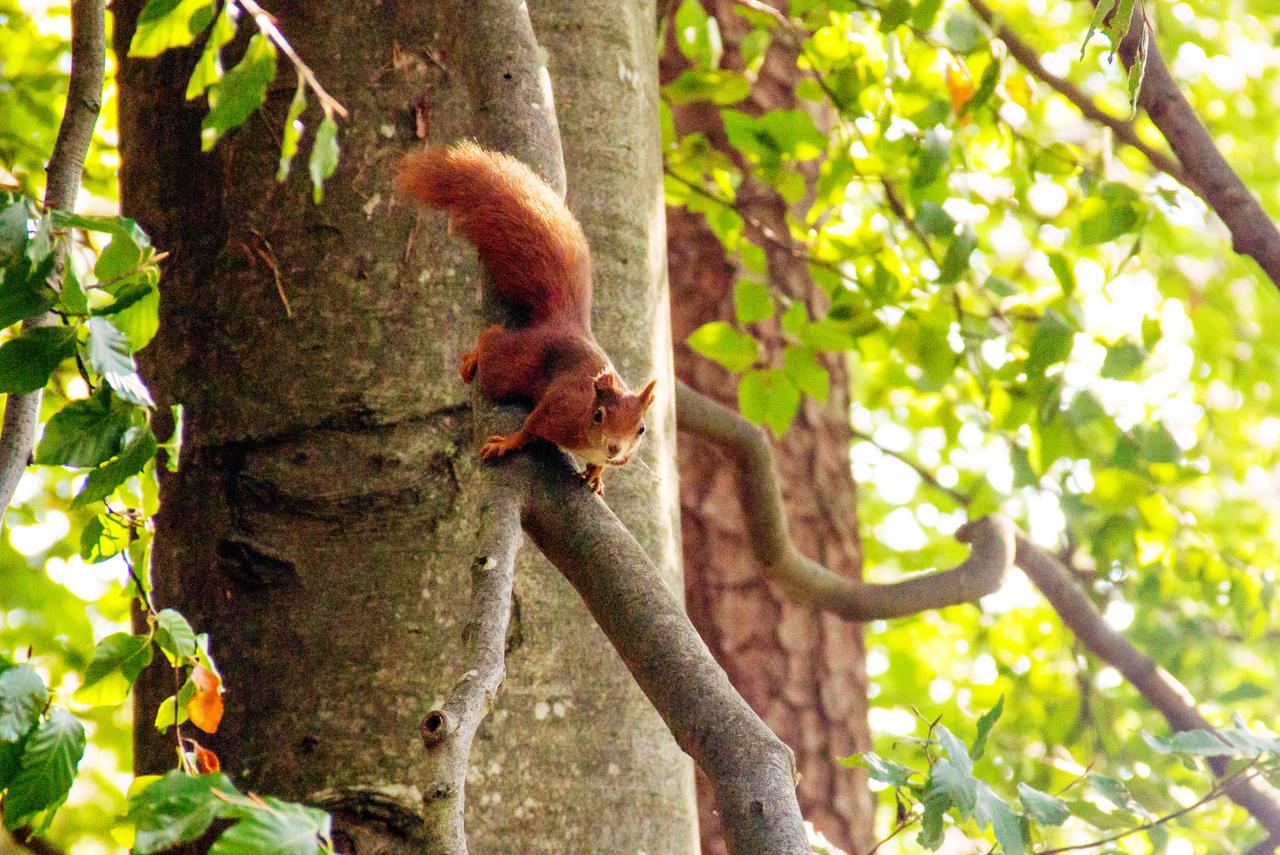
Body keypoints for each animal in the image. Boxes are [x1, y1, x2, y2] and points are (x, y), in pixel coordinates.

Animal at [395, 141, 657, 495]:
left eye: (641, 428)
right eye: (599, 415)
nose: (615, 448)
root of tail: (564, 324)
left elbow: (598, 465)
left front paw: (597, 473)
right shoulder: (558, 408)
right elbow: (530, 427)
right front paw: (507, 443)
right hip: (510, 365)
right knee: (493, 342)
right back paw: (477, 353)